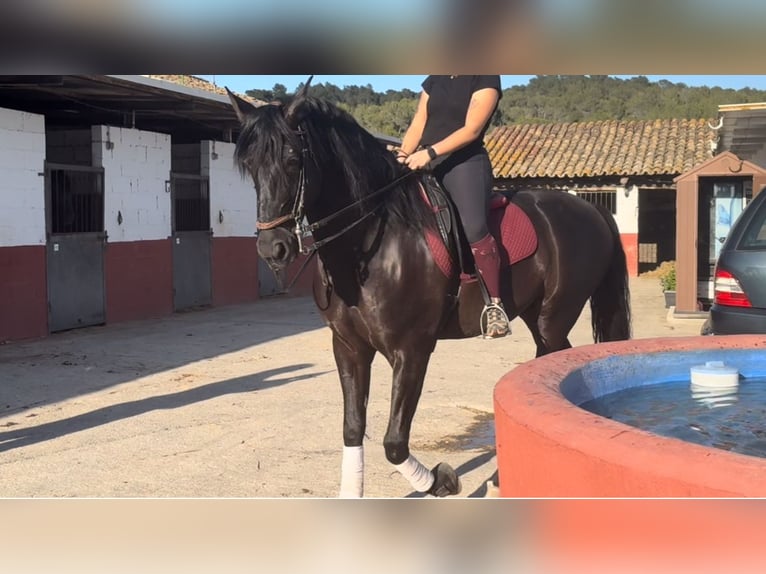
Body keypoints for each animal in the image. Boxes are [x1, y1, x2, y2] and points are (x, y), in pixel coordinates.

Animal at [225, 81, 632, 500]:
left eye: (293, 159)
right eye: (250, 166)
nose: (272, 248)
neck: (369, 242)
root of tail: (591, 209)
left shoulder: (412, 350)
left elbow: (393, 443)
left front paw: (443, 480)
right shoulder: (349, 347)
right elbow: (353, 429)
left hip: (554, 316)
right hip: (539, 317)